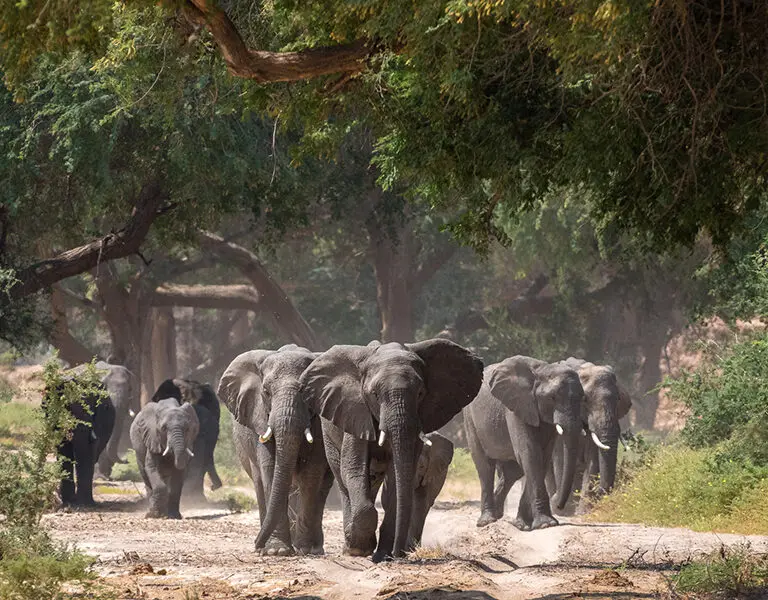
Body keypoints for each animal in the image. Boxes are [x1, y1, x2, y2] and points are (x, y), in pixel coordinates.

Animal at [219, 345, 333, 556]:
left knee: (321, 487)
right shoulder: (259, 418)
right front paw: (277, 551)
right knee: (259, 483)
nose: (256, 544)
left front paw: (304, 548)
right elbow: (270, 470)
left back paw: (314, 548)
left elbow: (311, 474)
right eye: (265, 391)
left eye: (305, 392)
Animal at [299, 339, 483, 562]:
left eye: (420, 393)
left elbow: (398, 478)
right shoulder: (356, 412)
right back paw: (350, 546)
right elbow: (353, 469)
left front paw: (383, 554)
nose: (398, 554)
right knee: (344, 481)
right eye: (374, 395)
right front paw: (360, 549)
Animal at [463, 356, 584, 531]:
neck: (542, 370)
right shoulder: (517, 406)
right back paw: (486, 521)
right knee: (485, 466)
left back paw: (500, 514)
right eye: (552, 398)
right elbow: (530, 453)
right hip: (470, 420)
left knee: (512, 472)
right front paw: (546, 524)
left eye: (582, 398)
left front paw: (523, 524)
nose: (559, 506)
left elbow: (541, 458)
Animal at [548, 357, 632, 513]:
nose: (600, 493)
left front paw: (583, 511)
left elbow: (592, 458)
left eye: (618, 399)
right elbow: (560, 457)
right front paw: (563, 509)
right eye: (584, 400)